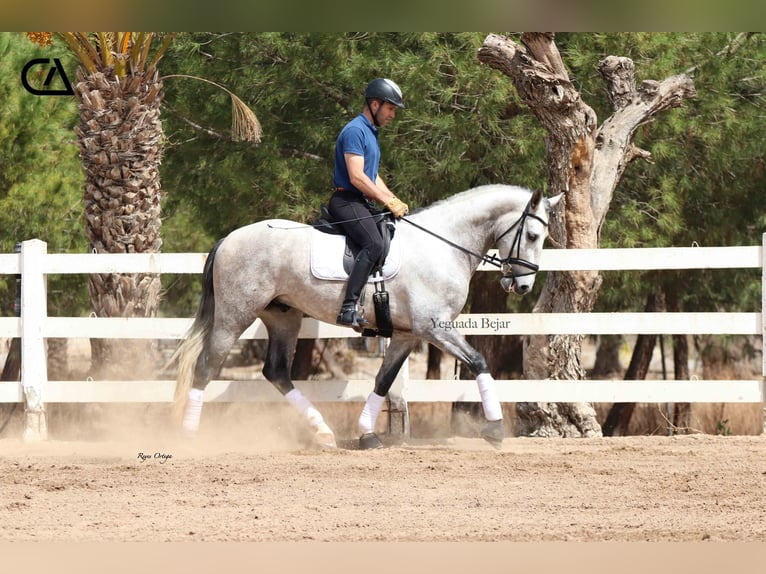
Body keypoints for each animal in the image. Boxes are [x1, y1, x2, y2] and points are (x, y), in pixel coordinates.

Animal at [172, 184, 564, 450]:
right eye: (532, 235)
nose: (523, 286)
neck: (442, 245)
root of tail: (227, 239)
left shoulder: (407, 334)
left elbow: (383, 380)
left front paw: (367, 434)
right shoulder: (434, 328)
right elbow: (479, 361)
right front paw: (495, 429)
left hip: (283, 317)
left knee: (277, 372)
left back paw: (323, 432)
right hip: (234, 316)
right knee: (206, 367)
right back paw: (190, 435)